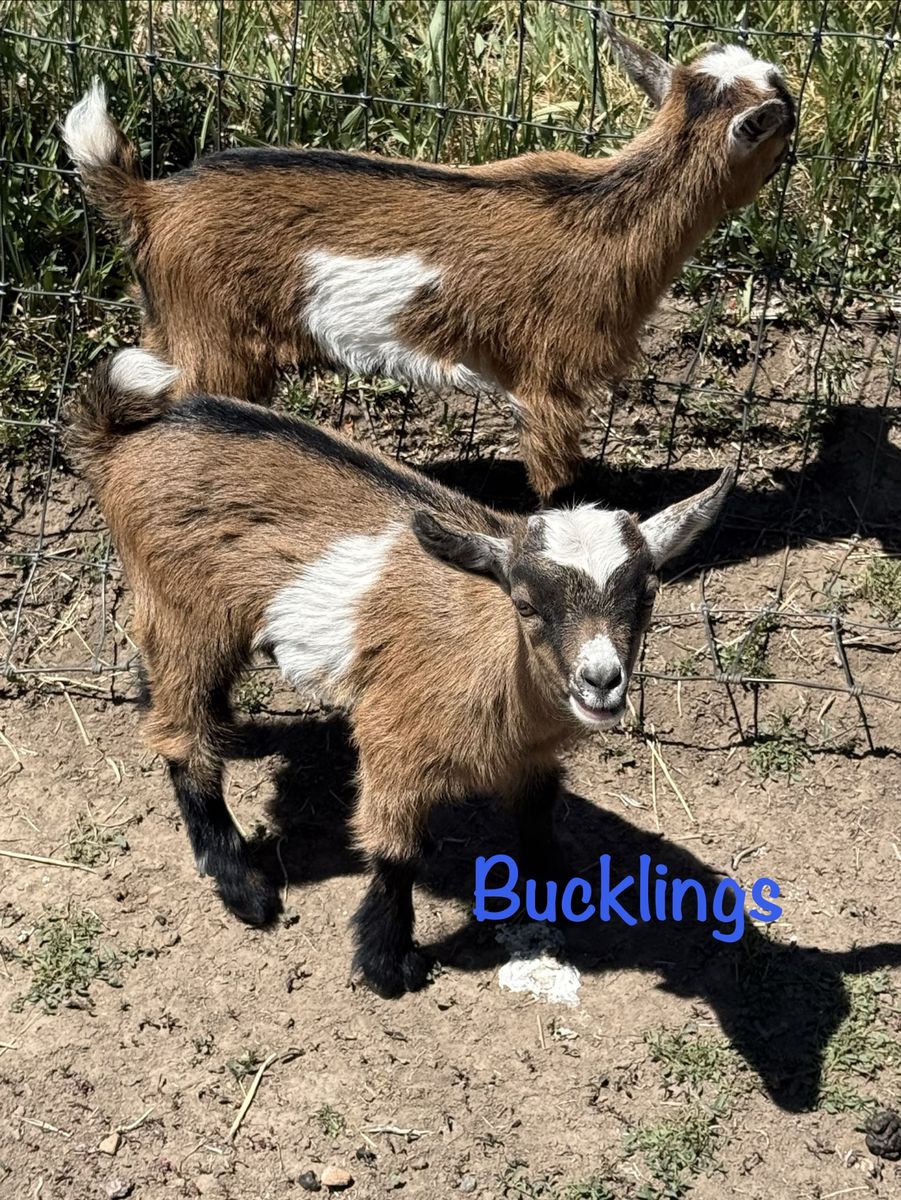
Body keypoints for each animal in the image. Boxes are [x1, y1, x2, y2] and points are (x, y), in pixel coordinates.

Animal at [62, 18, 794, 503]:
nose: (796, 111)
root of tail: (150, 198)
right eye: (783, 107)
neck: (612, 210)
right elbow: (554, 474)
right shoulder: (550, 375)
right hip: (211, 337)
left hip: (171, 326)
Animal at [69, 346, 734, 997]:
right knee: (185, 733)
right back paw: (243, 887)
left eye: (648, 594)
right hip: (186, 612)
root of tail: (127, 434)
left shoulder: (531, 752)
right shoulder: (394, 736)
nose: (601, 680)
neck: (498, 662)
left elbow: (538, 809)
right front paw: (388, 962)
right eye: (524, 604)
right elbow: (395, 852)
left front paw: (555, 887)